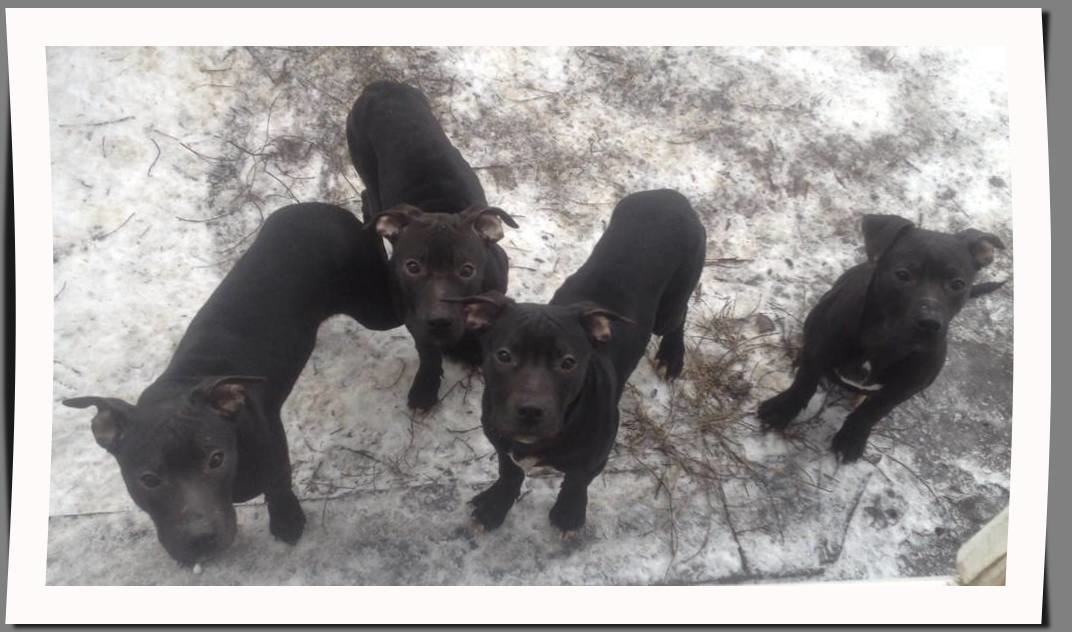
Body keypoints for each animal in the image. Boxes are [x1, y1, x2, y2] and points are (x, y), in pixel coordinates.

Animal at [63, 203, 399, 565]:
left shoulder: (273, 449)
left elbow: (278, 485)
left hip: (376, 306)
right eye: (148, 480)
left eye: (216, 459)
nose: (200, 539)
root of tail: (325, 207)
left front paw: (287, 520)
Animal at [346, 80, 518, 411]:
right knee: (369, 196)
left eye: (467, 270)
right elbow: (427, 352)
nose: (439, 321)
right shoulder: (413, 316)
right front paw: (425, 387)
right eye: (412, 267)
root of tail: (380, 86)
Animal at [451, 189, 706, 535]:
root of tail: (669, 194)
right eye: (503, 355)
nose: (530, 411)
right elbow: (509, 471)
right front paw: (496, 505)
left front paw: (568, 513)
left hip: (672, 303)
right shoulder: (500, 439)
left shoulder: (596, 455)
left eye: (568, 362)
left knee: (679, 316)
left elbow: (577, 480)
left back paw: (671, 355)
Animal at [757, 213, 1007, 462]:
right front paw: (783, 409)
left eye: (957, 284)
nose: (930, 323)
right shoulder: (818, 350)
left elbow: (872, 411)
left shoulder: (901, 390)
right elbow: (804, 382)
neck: (885, 341)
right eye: (902, 274)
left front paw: (852, 438)